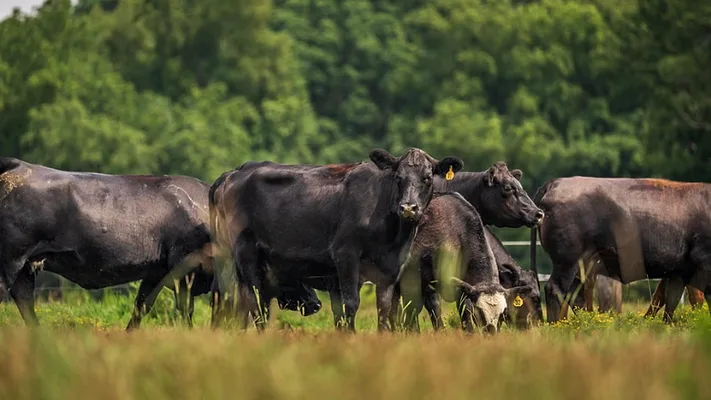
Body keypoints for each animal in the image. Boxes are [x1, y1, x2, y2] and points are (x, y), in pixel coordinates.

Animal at [209, 148, 463, 332]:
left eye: (427, 178)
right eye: (398, 178)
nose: (409, 208)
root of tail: (233, 173)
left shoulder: (391, 265)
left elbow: (385, 306)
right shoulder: (346, 255)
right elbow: (350, 303)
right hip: (245, 254)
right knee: (253, 300)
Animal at [531, 177, 711, 324]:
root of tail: (556, 183)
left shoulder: (677, 272)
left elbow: (670, 301)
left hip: (582, 265)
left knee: (575, 295)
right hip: (568, 261)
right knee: (556, 290)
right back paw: (557, 326)